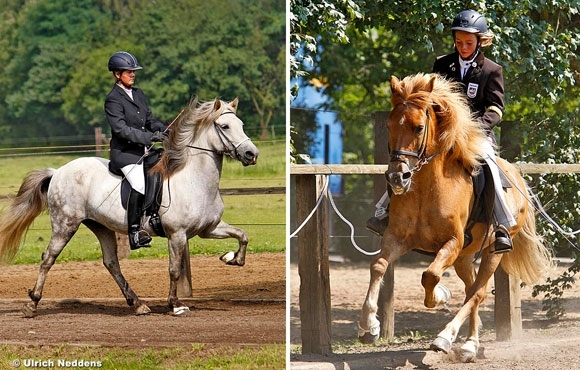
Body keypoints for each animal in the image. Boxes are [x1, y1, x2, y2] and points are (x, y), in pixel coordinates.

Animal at [0, 98, 258, 318]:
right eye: (224, 126)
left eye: (241, 125)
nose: (251, 154)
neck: (194, 179)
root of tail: (58, 172)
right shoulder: (177, 234)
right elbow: (174, 269)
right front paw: (175, 305)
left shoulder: (208, 229)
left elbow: (243, 235)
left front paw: (231, 258)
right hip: (65, 225)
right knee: (48, 258)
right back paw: (32, 304)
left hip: (100, 226)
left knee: (111, 263)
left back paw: (138, 304)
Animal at [358, 73, 552, 362]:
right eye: (389, 125)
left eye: (418, 128)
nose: (397, 177)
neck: (426, 188)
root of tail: (517, 177)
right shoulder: (397, 237)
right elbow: (379, 266)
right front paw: (368, 325)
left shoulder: (451, 242)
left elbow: (430, 276)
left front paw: (439, 298)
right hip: (465, 256)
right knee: (472, 289)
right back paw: (471, 341)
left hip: (493, 251)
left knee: (477, 292)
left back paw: (452, 340)